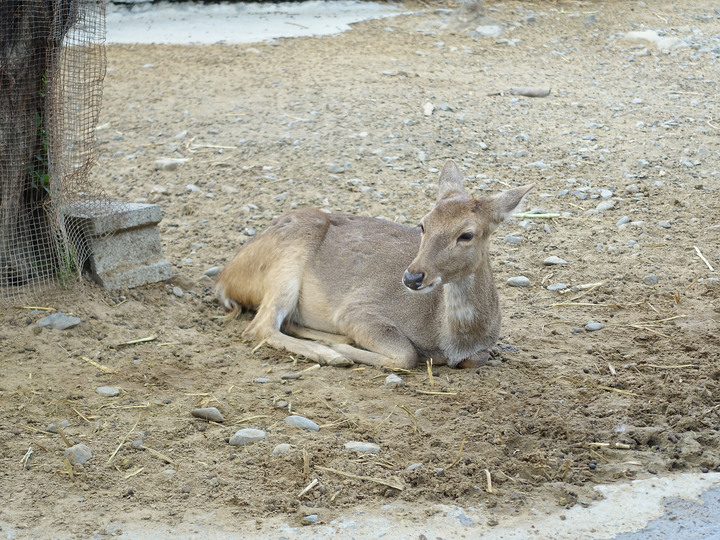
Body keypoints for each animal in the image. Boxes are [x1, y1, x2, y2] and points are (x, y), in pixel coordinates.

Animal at [217, 160, 532, 370]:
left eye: (466, 234)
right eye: (423, 224)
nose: (412, 277)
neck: (450, 337)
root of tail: (224, 280)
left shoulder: (481, 350)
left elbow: (476, 359)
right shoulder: (358, 310)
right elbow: (407, 356)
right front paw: (341, 348)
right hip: (286, 262)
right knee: (260, 326)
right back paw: (332, 354)